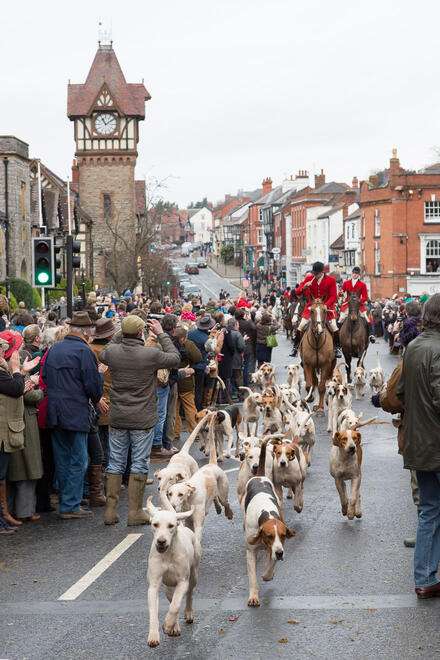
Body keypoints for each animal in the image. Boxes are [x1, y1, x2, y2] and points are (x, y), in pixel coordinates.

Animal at [241, 440, 296, 604]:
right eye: (269, 536)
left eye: (283, 536)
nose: (279, 553)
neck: (267, 515)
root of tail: (259, 476)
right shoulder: (251, 551)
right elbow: (252, 578)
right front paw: (253, 597)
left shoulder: (275, 547)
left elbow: (269, 567)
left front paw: (267, 574)